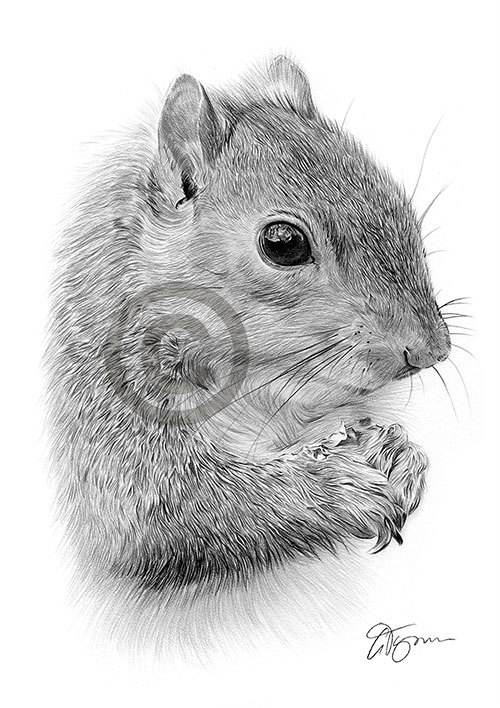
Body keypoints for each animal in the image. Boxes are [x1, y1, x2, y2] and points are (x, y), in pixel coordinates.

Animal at [46, 56, 450, 596]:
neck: (251, 383)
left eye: (400, 204)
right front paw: (336, 489)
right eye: (282, 243)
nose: (431, 350)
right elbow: (178, 506)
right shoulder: (110, 415)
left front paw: (394, 452)